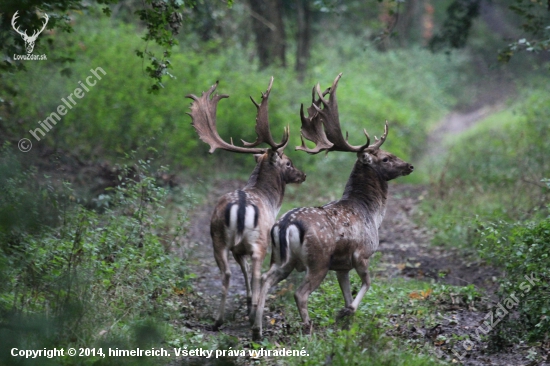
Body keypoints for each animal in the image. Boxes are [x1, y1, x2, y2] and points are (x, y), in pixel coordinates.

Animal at [185, 77, 306, 328]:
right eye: (288, 163)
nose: (303, 175)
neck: (269, 199)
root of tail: (240, 207)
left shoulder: (238, 250)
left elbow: (243, 270)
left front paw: (249, 303)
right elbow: (253, 274)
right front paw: (252, 308)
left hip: (218, 238)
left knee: (227, 273)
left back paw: (218, 320)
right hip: (259, 241)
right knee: (257, 273)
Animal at [253, 74, 414, 340]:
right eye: (385, 158)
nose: (409, 166)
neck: (372, 213)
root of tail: (286, 225)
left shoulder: (342, 266)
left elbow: (347, 293)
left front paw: (348, 321)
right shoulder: (362, 254)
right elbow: (367, 284)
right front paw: (344, 313)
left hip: (281, 259)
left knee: (265, 281)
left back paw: (257, 329)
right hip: (318, 260)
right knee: (300, 293)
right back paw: (308, 328)